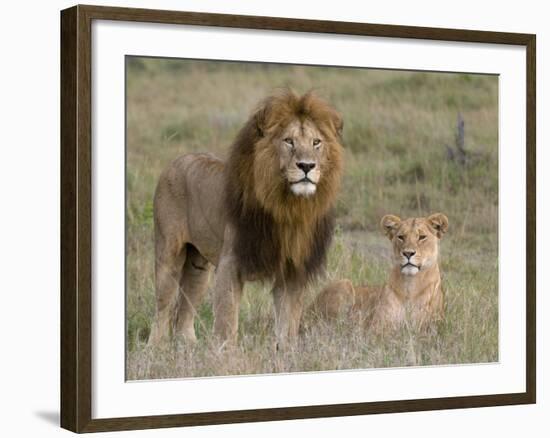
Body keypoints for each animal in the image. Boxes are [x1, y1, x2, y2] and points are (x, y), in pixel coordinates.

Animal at [149, 90, 342, 348]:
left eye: (316, 142)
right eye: (289, 141)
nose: (306, 166)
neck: (288, 206)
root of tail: (176, 160)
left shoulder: (292, 271)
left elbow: (288, 323)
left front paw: (286, 352)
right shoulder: (230, 264)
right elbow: (227, 323)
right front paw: (225, 354)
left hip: (198, 265)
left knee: (185, 309)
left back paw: (188, 346)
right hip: (168, 255)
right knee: (162, 308)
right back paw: (154, 348)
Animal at [310, 214, 448, 330]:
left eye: (422, 237)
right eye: (401, 237)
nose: (408, 253)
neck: (410, 284)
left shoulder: (427, 328)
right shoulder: (377, 325)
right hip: (344, 283)